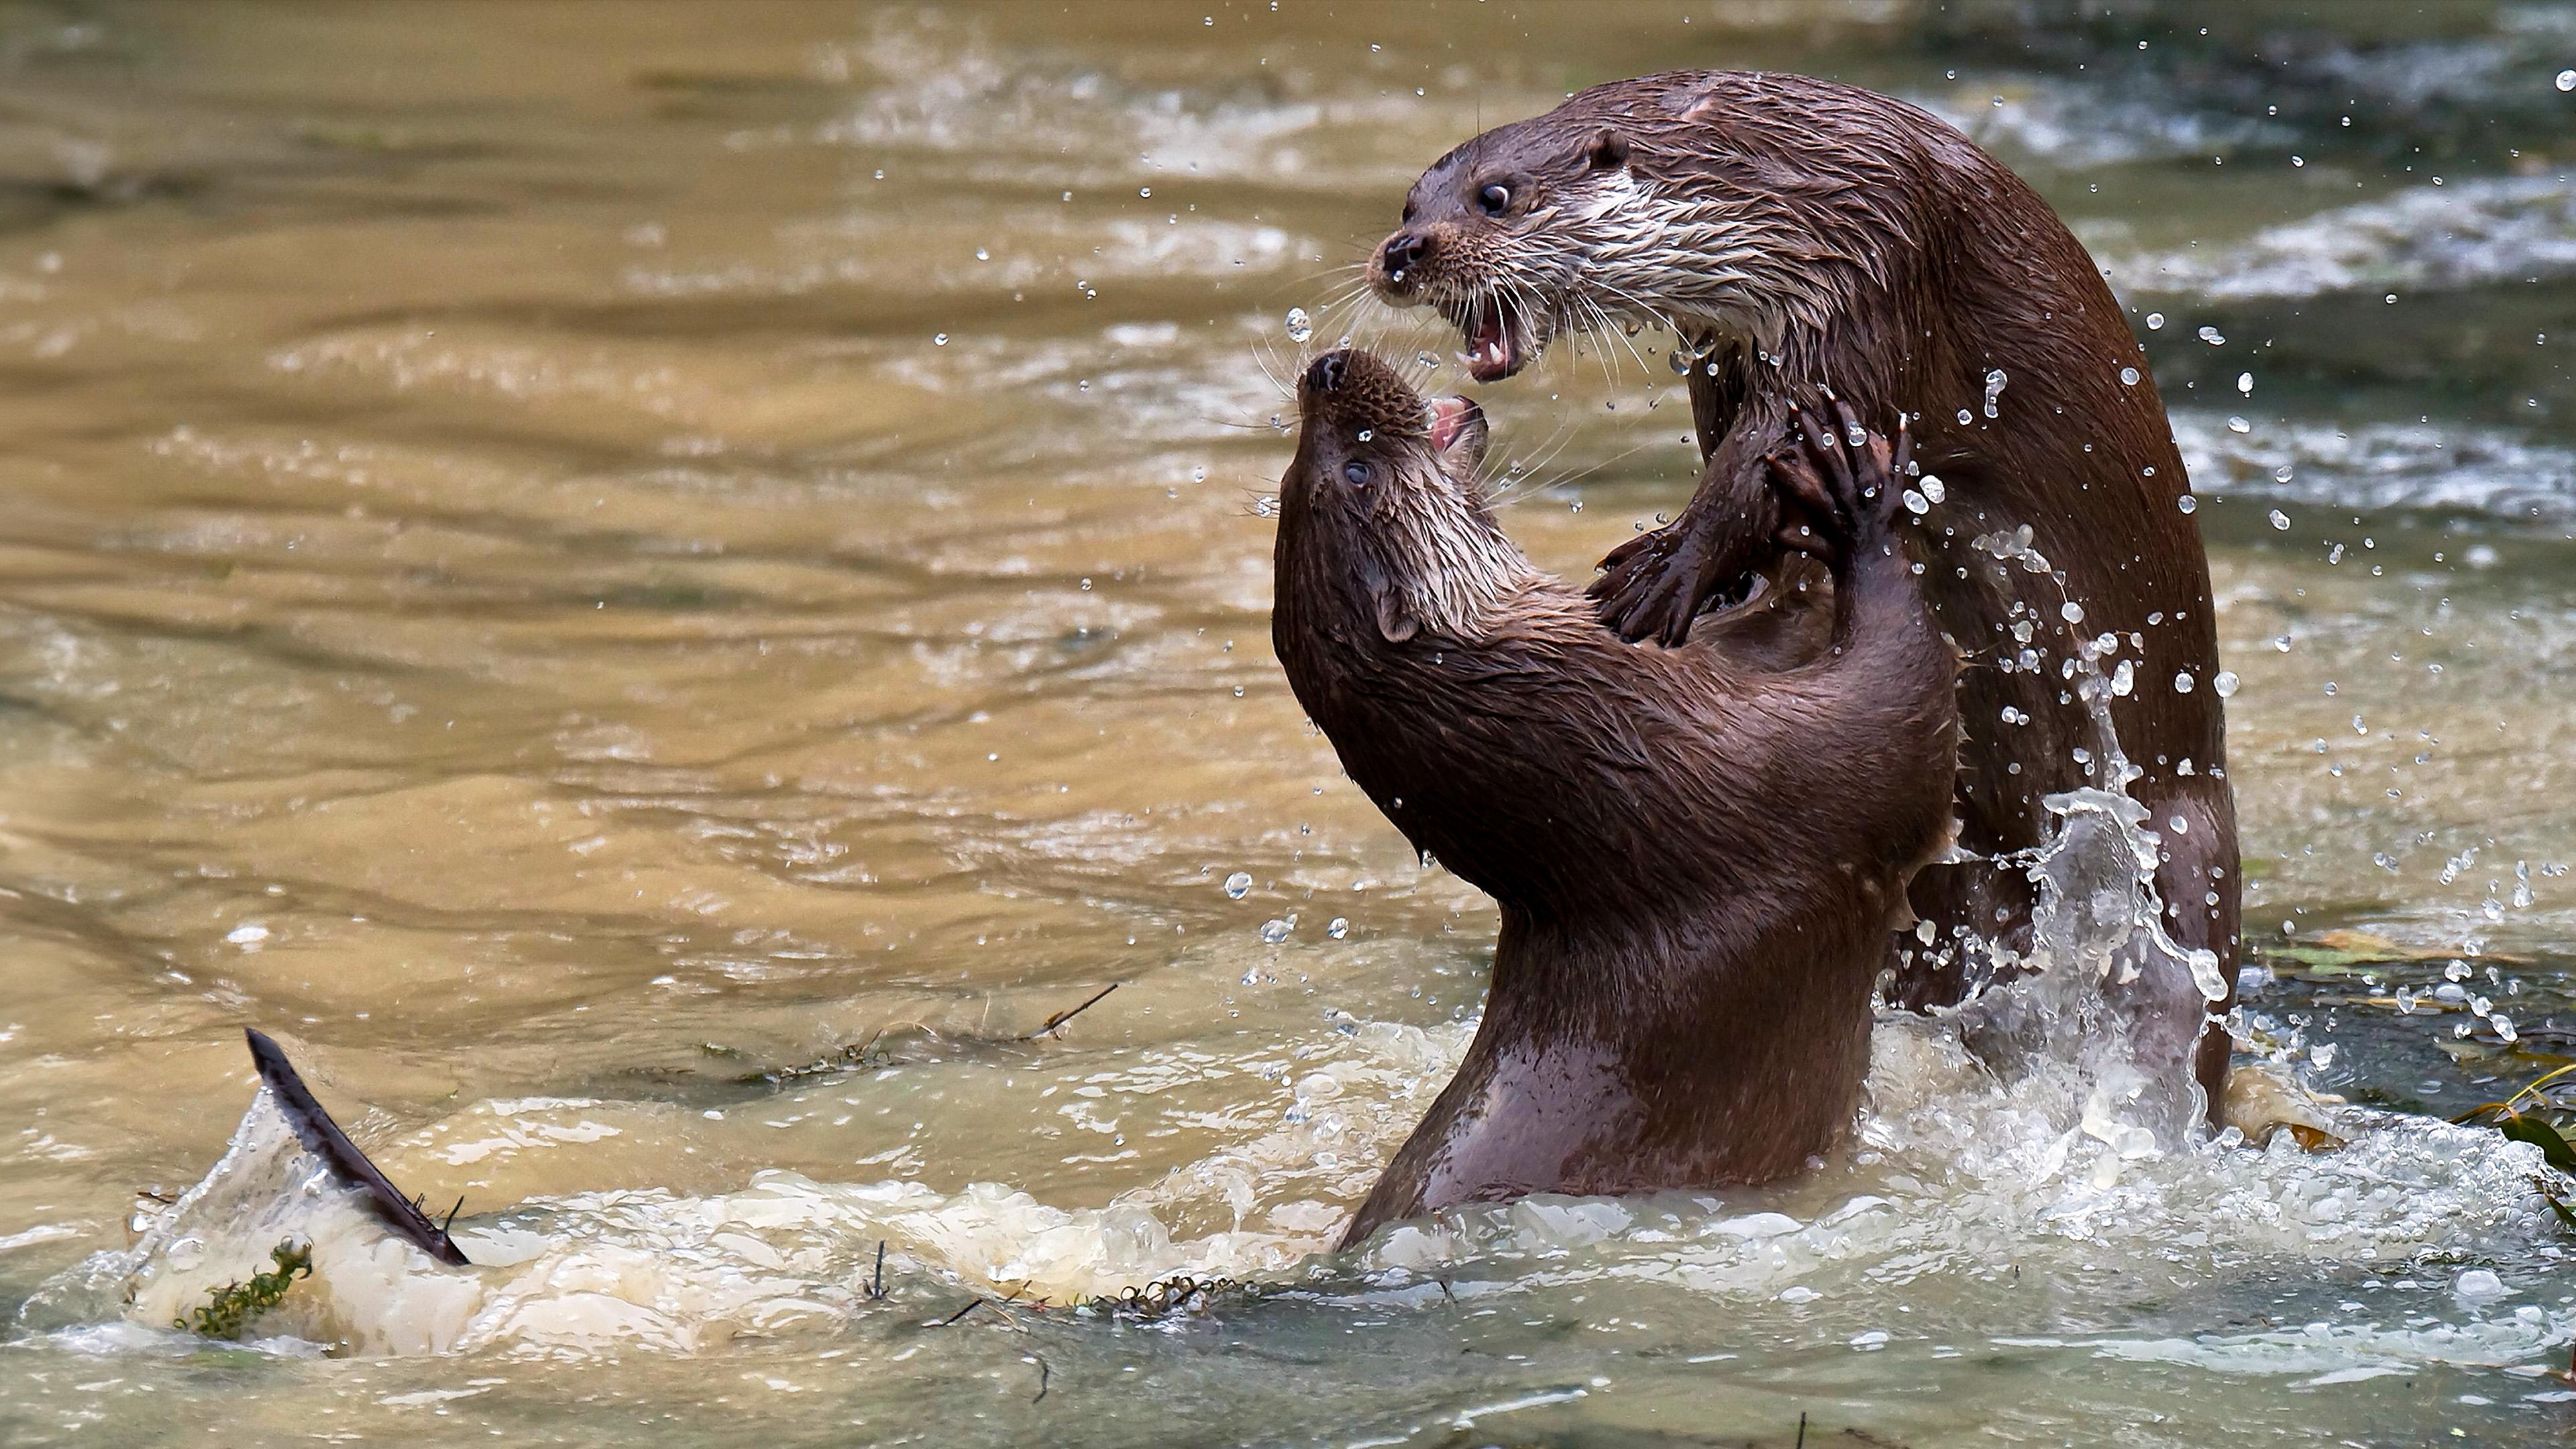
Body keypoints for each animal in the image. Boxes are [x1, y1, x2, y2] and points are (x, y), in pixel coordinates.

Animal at [1271, 349, 1956, 1247]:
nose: (1326, 366)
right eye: (1354, 470)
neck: (1620, 753)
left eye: (1291, 472)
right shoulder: (1784, 775)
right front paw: (1856, 500)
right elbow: (1904, 706)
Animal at [1367, 71, 2240, 1113]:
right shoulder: (1729, 342)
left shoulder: (1870, 275)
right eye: (1410, 203)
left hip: (2182, 846)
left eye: (1495, 197)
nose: (1403, 254)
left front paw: (1668, 573)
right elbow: (1739, 451)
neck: (1791, 187)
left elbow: (1770, 455)